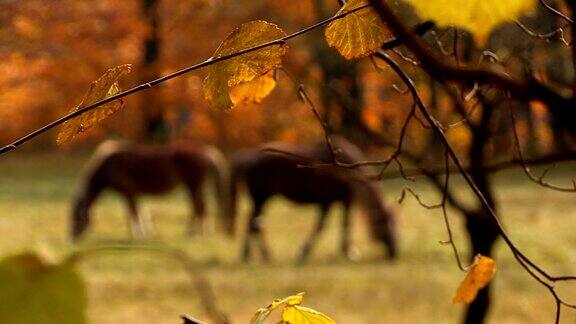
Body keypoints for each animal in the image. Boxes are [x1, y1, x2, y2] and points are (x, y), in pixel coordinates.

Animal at [72, 140, 232, 240]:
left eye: (77, 217)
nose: (72, 238)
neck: (109, 165)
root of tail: (206, 151)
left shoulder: (128, 192)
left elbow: (134, 213)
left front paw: (138, 235)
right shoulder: (133, 194)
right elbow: (140, 211)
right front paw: (145, 233)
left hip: (193, 185)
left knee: (199, 207)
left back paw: (195, 232)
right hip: (193, 186)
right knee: (198, 207)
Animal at [228, 135, 396, 262]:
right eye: (387, 223)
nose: (395, 253)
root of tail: (248, 157)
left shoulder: (341, 202)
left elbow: (342, 224)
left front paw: (346, 251)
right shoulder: (329, 202)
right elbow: (323, 226)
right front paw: (306, 252)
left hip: (261, 200)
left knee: (254, 223)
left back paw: (253, 255)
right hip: (261, 198)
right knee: (254, 223)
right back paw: (259, 255)